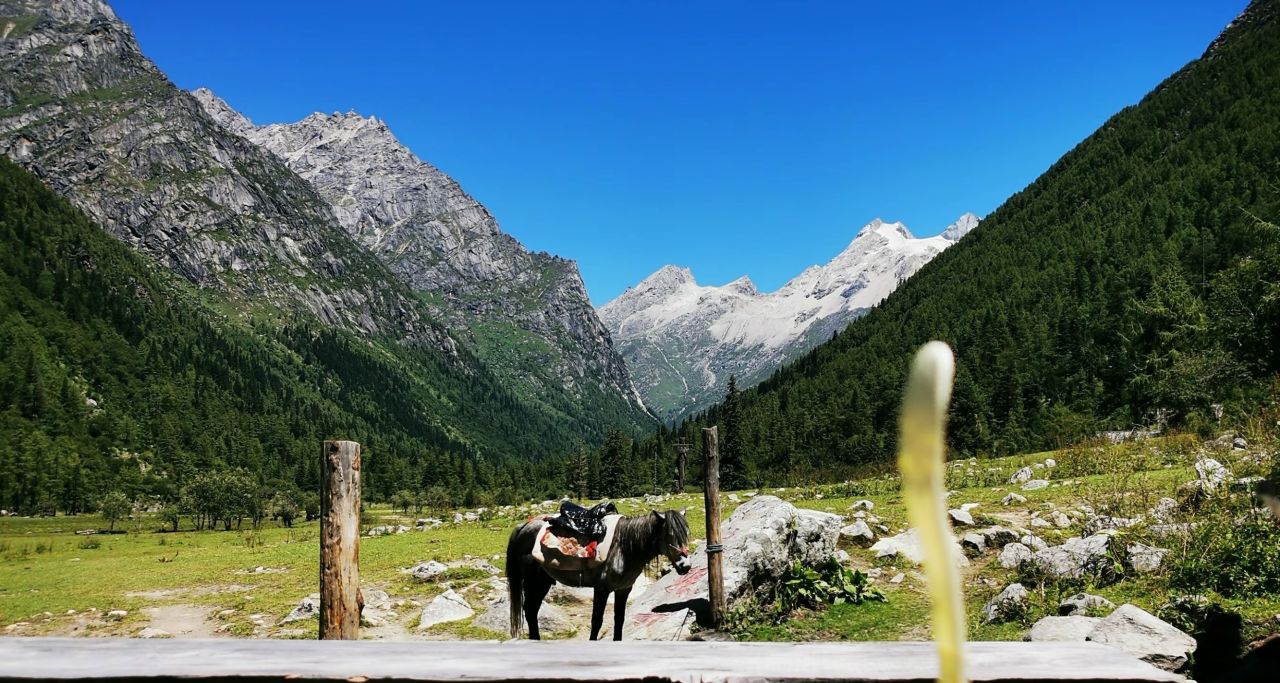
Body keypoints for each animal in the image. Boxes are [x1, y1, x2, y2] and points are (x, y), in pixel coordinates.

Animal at [506, 509, 691, 642]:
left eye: (686, 533)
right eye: (670, 535)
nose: (686, 566)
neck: (623, 548)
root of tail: (523, 526)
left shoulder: (623, 589)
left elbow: (619, 620)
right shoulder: (602, 589)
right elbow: (596, 621)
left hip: (542, 582)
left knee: (532, 610)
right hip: (533, 581)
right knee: (530, 610)